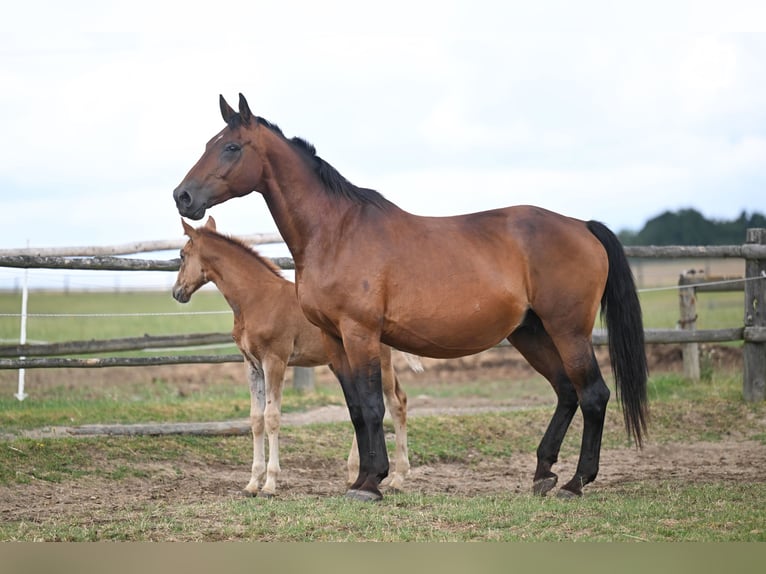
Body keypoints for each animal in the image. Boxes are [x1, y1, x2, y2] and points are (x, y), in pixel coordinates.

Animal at [172, 216, 417, 496]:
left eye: (182, 255)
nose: (177, 292)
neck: (256, 299)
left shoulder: (275, 360)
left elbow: (272, 417)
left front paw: (270, 483)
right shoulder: (251, 364)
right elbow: (256, 419)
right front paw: (252, 483)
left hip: (379, 361)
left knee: (396, 404)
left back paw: (396, 477)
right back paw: (356, 474)